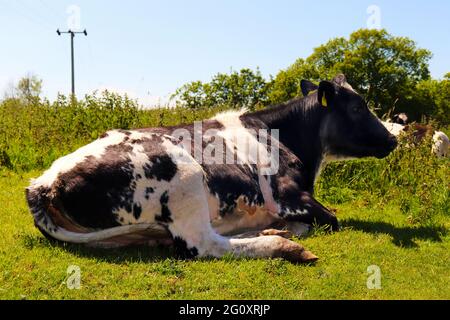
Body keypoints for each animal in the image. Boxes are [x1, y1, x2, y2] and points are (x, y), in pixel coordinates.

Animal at [25, 74, 398, 262]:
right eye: (357, 107)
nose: (393, 140)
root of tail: (42, 184)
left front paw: (277, 228)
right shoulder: (288, 197)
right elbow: (332, 219)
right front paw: (288, 231)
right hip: (187, 176)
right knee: (205, 245)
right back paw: (283, 245)